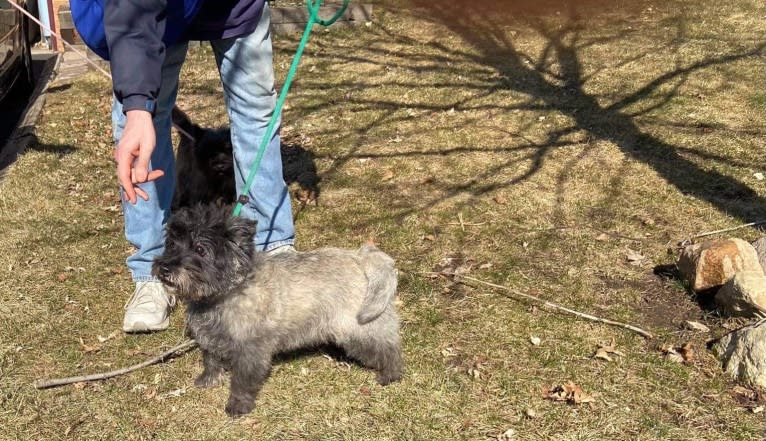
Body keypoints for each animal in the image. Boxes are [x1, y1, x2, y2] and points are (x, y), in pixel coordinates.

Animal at [149, 204, 402, 416]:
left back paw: (390, 374)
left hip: (358, 328)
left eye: (200, 249)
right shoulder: (210, 337)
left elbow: (241, 380)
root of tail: (359, 257)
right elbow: (210, 359)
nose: (165, 267)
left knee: (387, 346)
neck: (225, 293)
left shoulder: (250, 350)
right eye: (172, 244)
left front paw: (238, 405)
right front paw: (209, 379)